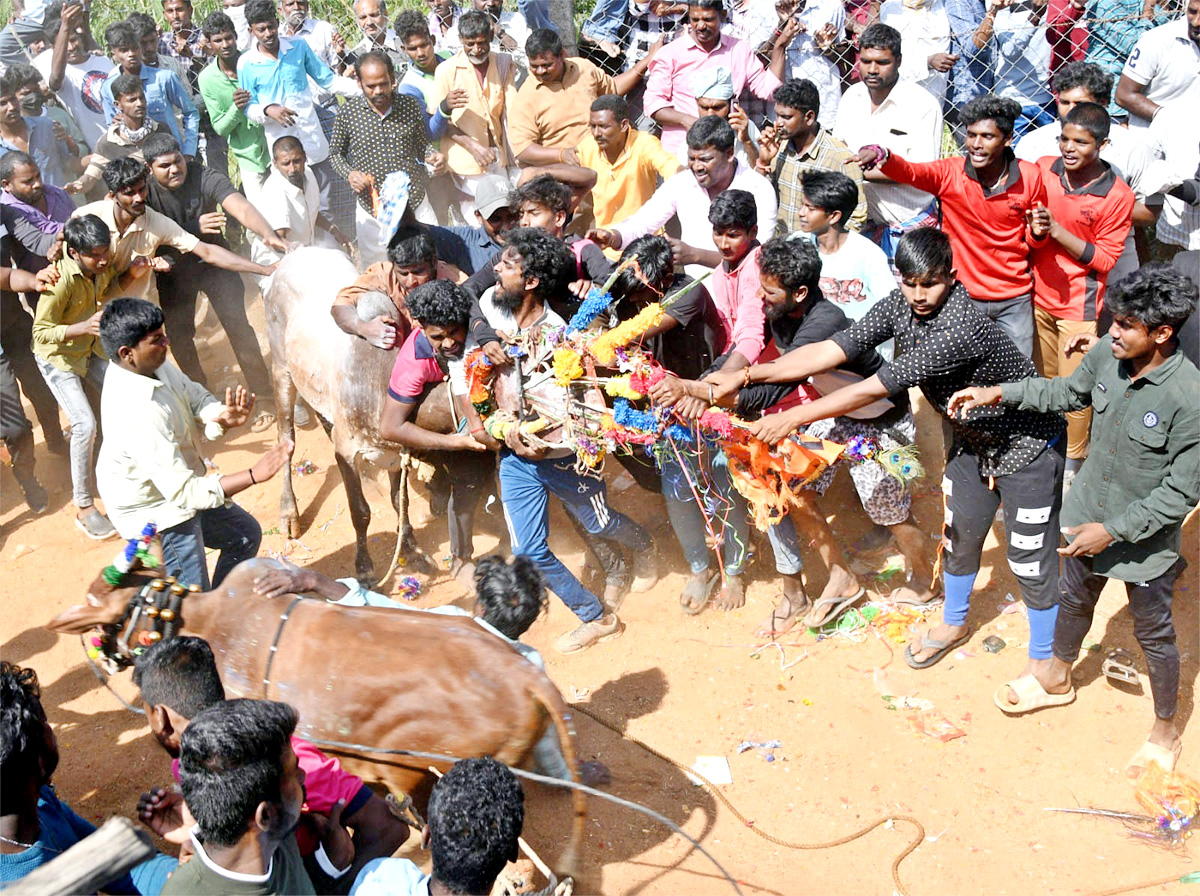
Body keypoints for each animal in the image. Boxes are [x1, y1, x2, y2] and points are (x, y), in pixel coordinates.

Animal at [262, 245, 458, 585]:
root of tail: (292, 255)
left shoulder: (396, 454)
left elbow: (399, 501)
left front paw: (413, 551)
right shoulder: (347, 452)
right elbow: (360, 512)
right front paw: (364, 568)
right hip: (281, 370)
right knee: (286, 438)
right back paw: (289, 513)